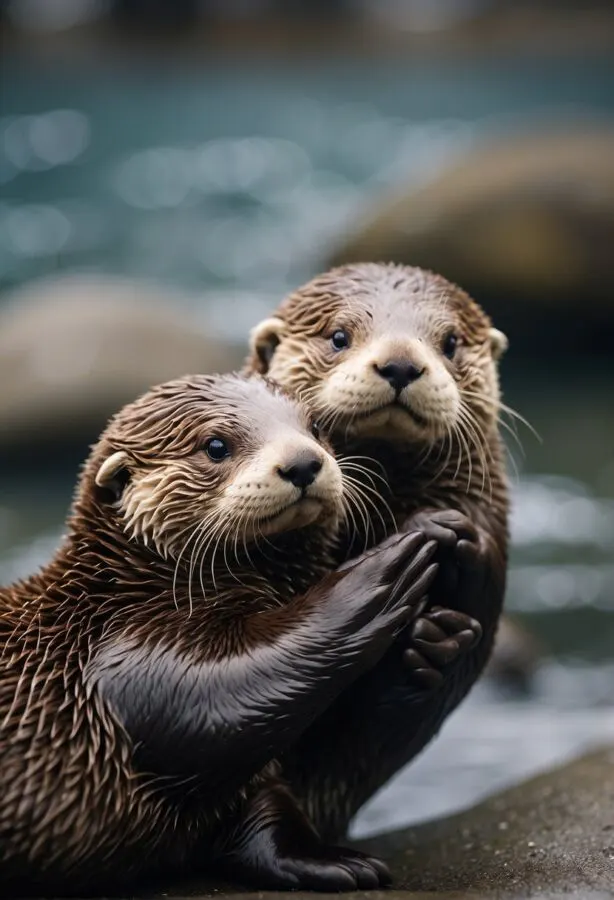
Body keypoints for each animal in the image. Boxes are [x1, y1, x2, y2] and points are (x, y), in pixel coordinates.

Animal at [0, 372, 447, 896]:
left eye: (315, 427)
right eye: (215, 446)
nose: (303, 462)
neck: (127, 588)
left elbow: (265, 807)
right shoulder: (127, 653)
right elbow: (221, 694)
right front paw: (380, 568)